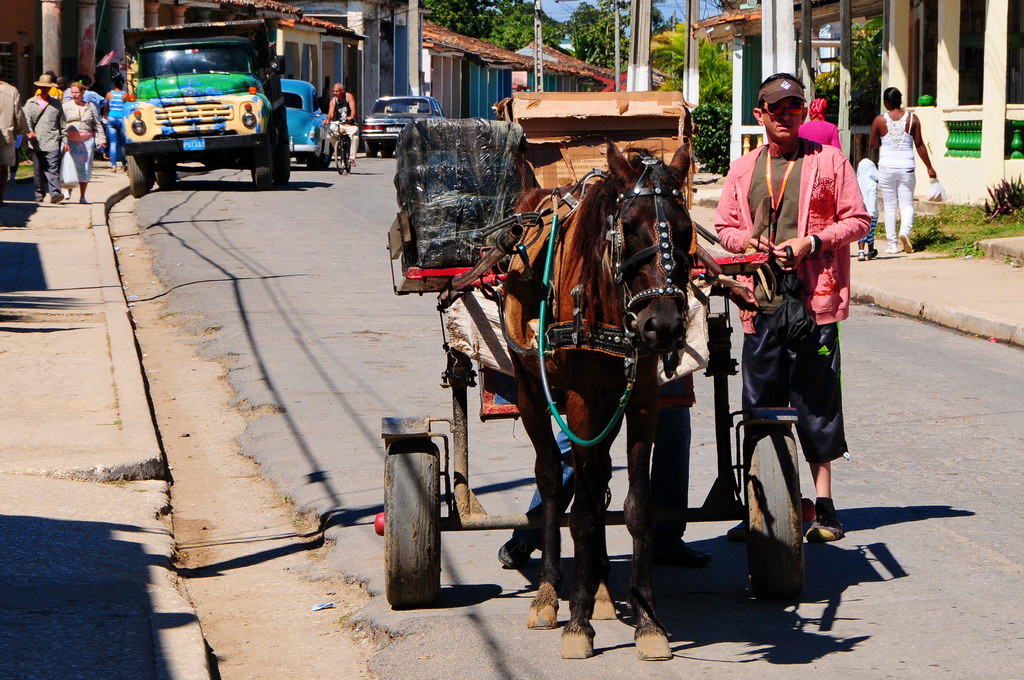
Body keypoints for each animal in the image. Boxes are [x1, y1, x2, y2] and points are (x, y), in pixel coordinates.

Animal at [499, 143, 692, 659]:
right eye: (628, 226)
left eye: (686, 228)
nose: (663, 325)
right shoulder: (583, 403)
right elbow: (582, 514)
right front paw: (578, 622)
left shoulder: (641, 399)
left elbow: (637, 507)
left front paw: (647, 621)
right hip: (531, 391)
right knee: (551, 478)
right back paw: (550, 595)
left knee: (600, 475)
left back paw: (604, 589)